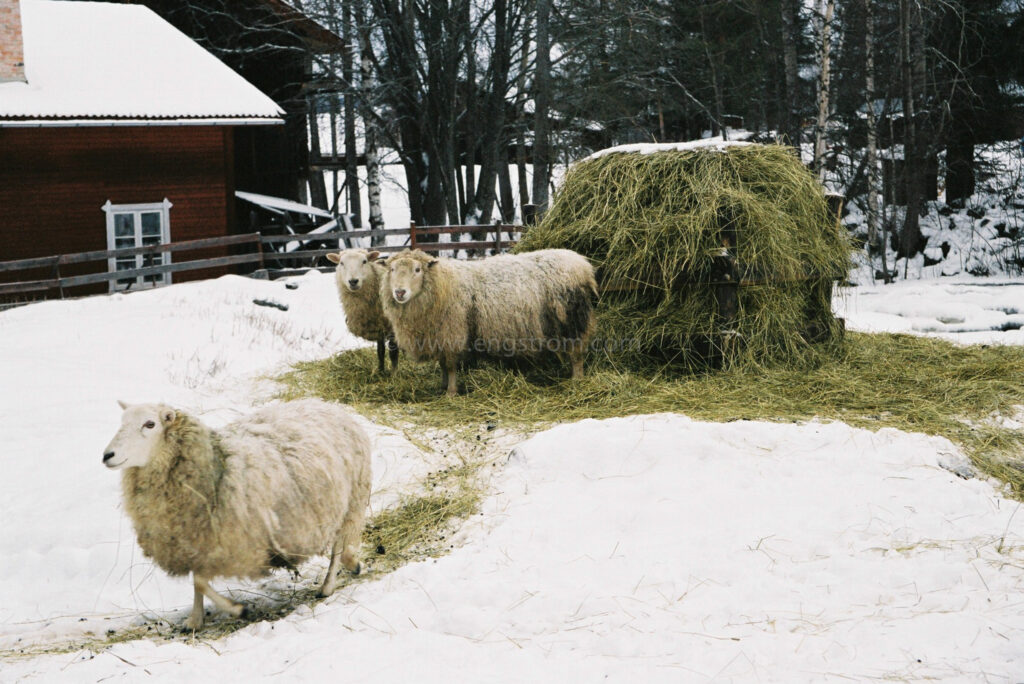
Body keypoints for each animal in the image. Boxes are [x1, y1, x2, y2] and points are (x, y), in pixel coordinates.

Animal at [99, 401, 370, 630]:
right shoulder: (198, 543)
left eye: (150, 424)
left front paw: (238, 609)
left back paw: (331, 583)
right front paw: (195, 620)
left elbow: (201, 582)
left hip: (351, 500)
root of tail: (330, 405)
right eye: (122, 421)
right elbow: (198, 582)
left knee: (338, 546)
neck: (215, 464)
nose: (107, 456)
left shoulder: (233, 544)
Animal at [380, 246, 598, 395]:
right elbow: (442, 364)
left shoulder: (452, 332)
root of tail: (582, 264)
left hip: (572, 321)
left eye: (417, 270)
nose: (399, 292)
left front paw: (451, 392)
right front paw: (442, 387)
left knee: (577, 354)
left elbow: (450, 366)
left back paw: (577, 381)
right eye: (391, 269)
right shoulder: (438, 335)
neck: (440, 283)